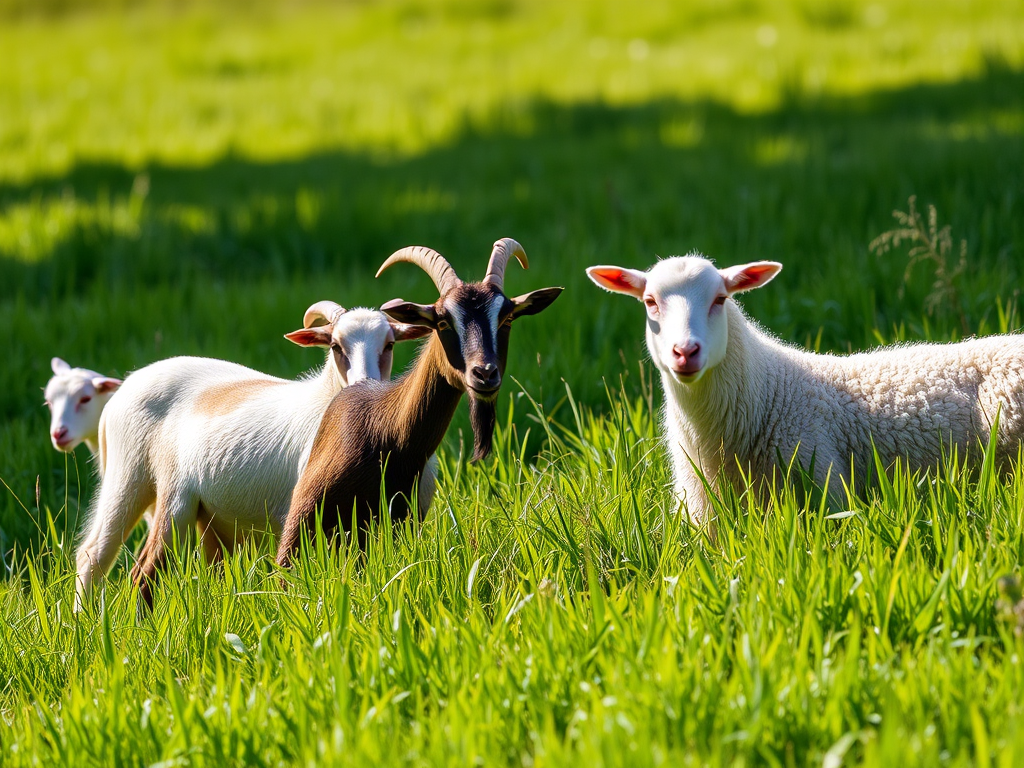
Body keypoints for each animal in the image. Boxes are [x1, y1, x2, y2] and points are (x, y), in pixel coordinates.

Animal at [75, 304, 430, 611]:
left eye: (389, 344)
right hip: (134, 479)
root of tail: (128, 383)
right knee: (96, 557)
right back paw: (82, 623)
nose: (363, 385)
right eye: (335, 346)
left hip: (207, 515)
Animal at [587, 254, 1024, 523]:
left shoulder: (823, 488)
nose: (685, 351)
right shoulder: (703, 511)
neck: (768, 392)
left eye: (720, 299)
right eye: (649, 301)